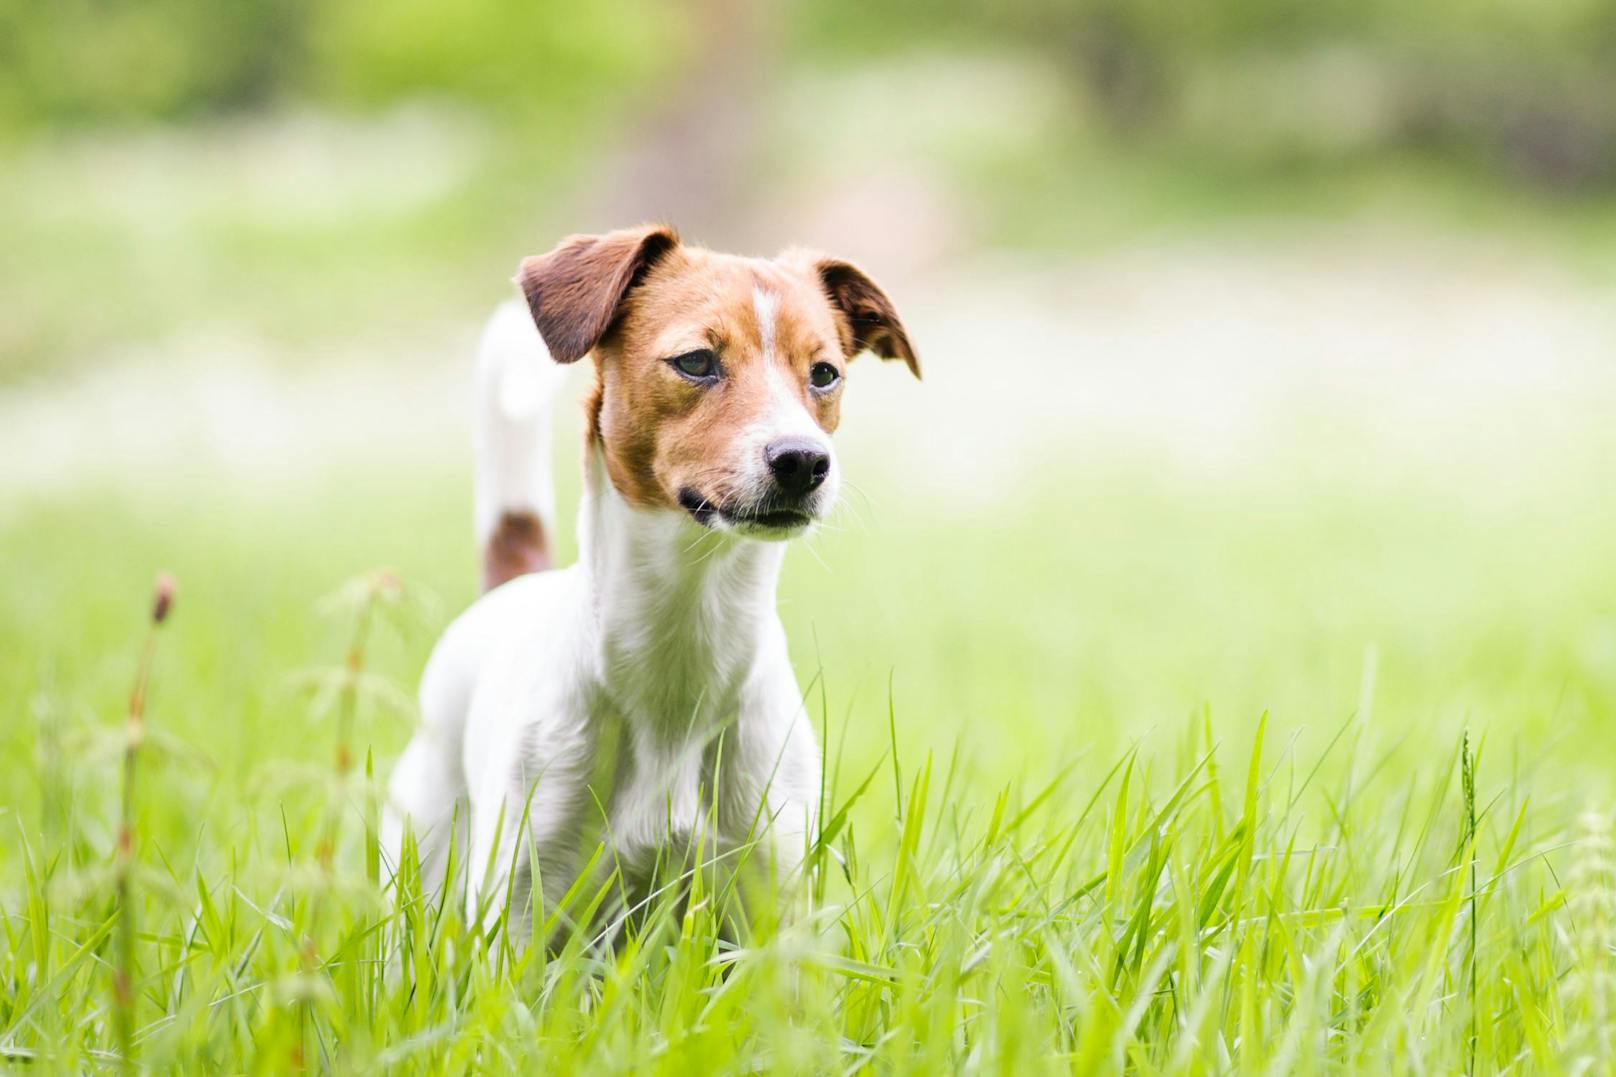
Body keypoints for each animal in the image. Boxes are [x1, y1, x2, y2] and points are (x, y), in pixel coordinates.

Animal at [374, 224, 911, 931]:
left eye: (825, 374)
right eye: (696, 361)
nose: (804, 460)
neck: (683, 646)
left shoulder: (771, 897)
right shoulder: (522, 904)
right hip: (424, 843)